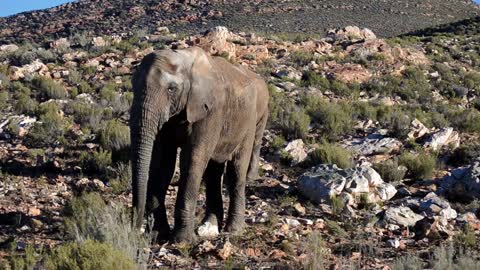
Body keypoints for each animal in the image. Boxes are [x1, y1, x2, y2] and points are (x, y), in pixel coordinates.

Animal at [129, 46, 268, 243]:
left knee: (236, 171)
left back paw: (233, 230)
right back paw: (209, 227)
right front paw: (158, 235)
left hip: (249, 121)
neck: (184, 59)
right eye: (133, 85)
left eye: (171, 89)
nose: (135, 231)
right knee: (213, 172)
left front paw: (182, 241)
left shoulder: (209, 110)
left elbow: (193, 160)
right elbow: (163, 164)